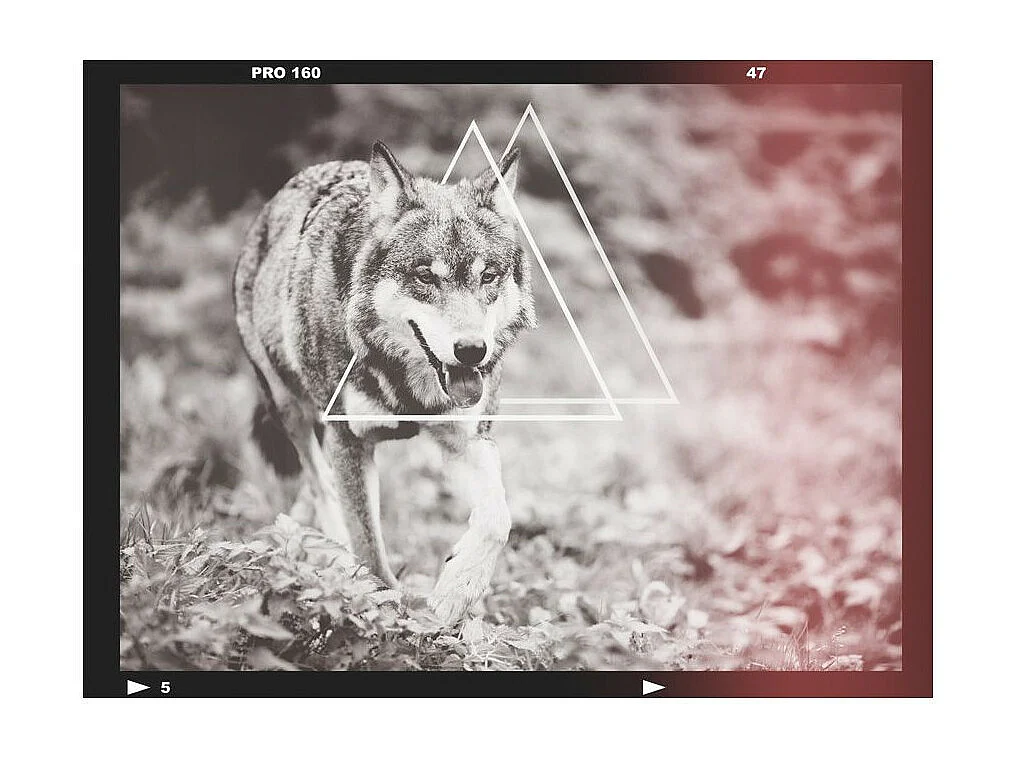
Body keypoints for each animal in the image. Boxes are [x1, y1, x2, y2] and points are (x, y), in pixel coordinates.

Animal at [233, 141, 535, 622]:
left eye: (487, 276)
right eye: (426, 276)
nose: (472, 350)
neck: (405, 382)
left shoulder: (466, 439)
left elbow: (497, 520)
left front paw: (457, 591)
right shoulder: (348, 441)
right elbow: (369, 548)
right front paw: (380, 608)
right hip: (288, 407)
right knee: (320, 484)